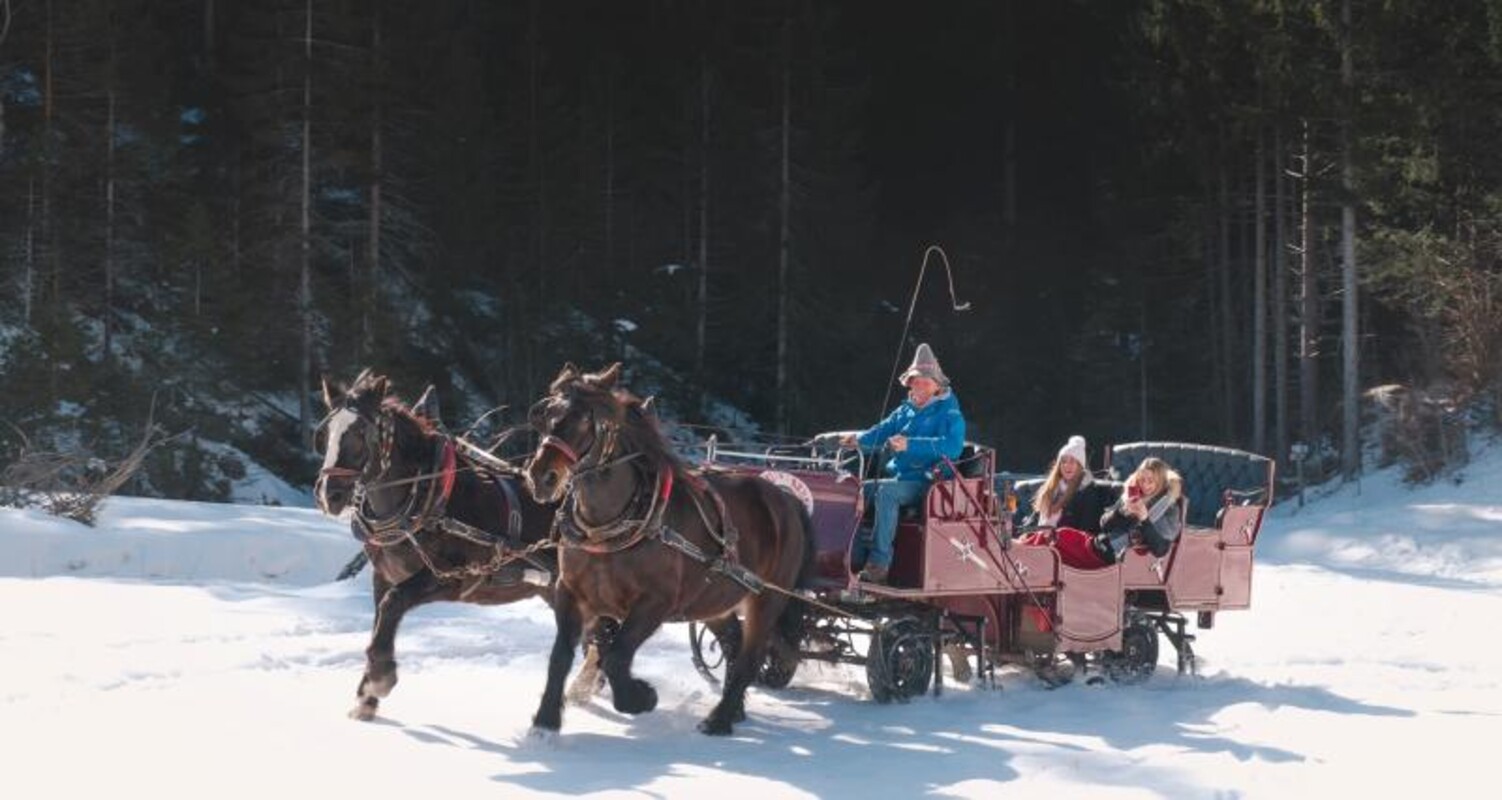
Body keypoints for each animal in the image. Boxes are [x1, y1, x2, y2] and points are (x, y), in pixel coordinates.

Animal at [314, 369, 601, 721]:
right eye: (326, 432)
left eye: (359, 432)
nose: (329, 494)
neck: (426, 498)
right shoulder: (383, 576)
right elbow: (381, 618)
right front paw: (365, 698)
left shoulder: (452, 578)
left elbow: (393, 605)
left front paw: (380, 680)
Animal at [524, 363, 812, 736]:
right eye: (543, 414)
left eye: (587, 420)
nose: (541, 476)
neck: (611, 527)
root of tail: (786, 499)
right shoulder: (570, 592)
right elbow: (560, 657)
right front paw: (546, 720)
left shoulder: (655, 603)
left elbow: (616, 655)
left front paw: (640, 697)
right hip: (714, 598)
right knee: (733, 645)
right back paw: (732, 711)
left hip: (767, 599)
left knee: (750, 658)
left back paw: (718, 720)